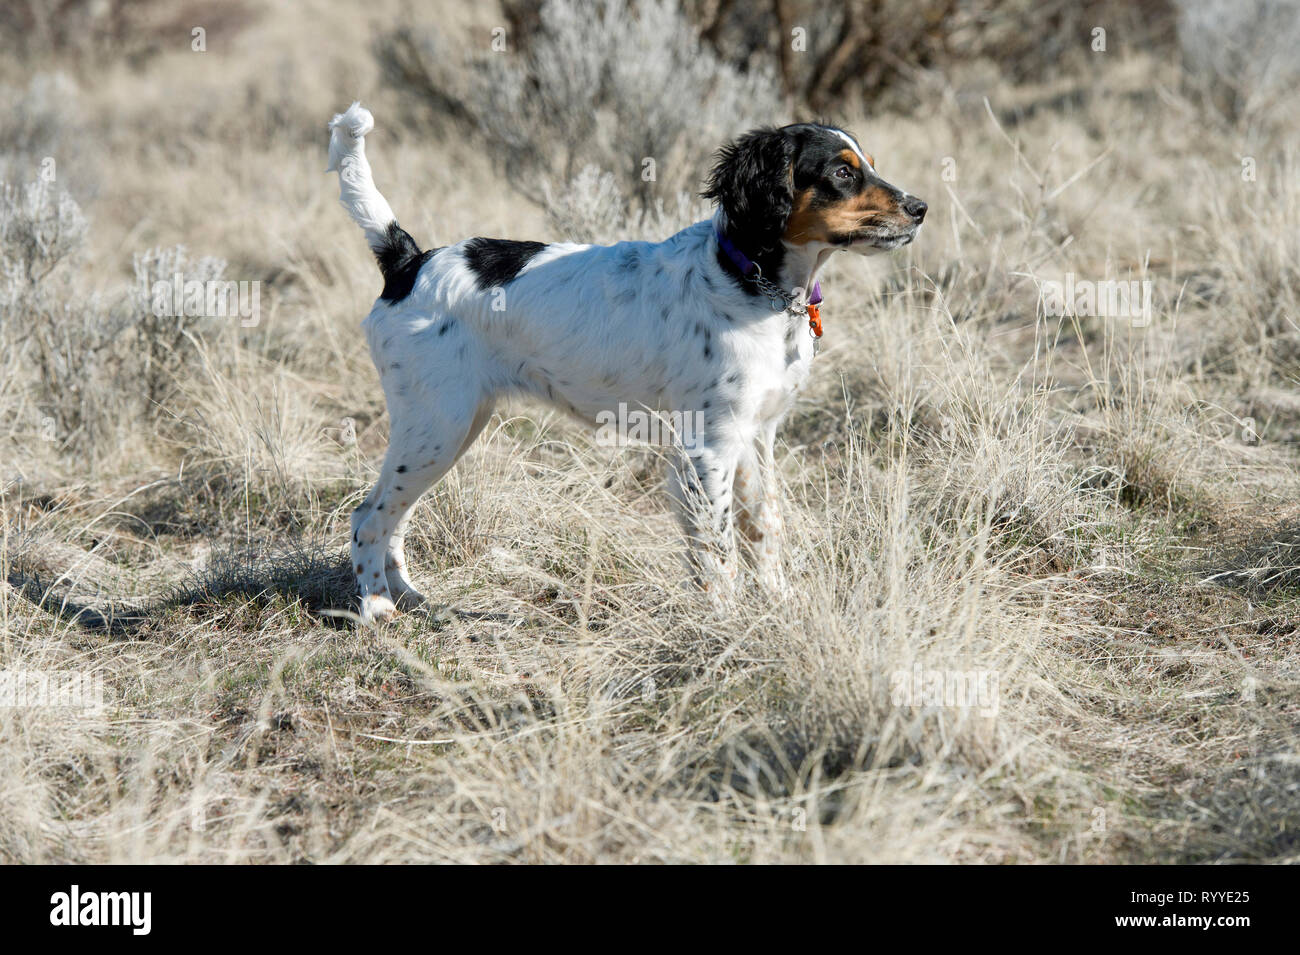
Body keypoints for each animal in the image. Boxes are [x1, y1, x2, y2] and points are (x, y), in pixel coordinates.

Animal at [330, 104, 930, 623]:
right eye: (841, 172)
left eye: (867, 164)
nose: (920, 208)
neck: (750, 281)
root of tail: (409, 261)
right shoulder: (706, 448)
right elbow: (718, 551)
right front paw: (727, 624)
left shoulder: (757, 435)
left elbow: (764, 527)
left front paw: (779, 606)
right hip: (436, 425)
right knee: (369, 516)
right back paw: (377, 608)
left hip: (449, 428)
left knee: (394, 515)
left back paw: (408, 595)